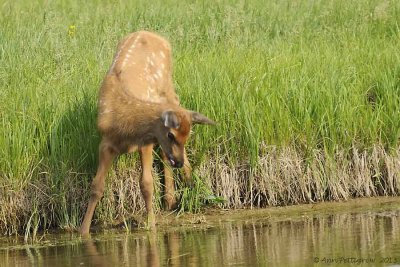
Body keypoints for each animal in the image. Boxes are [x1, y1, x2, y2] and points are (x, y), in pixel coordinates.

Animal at [79, 30, 214, 233]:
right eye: (171, 135)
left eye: (188, 136)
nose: (179, 162)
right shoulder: (106, 143)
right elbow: (97, 186)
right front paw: (83, 230)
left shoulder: (146, 142)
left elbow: (147, 184)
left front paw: (151, 224)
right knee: (166, 155)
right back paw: (172, 198)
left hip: (169, 89)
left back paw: (185, 188)